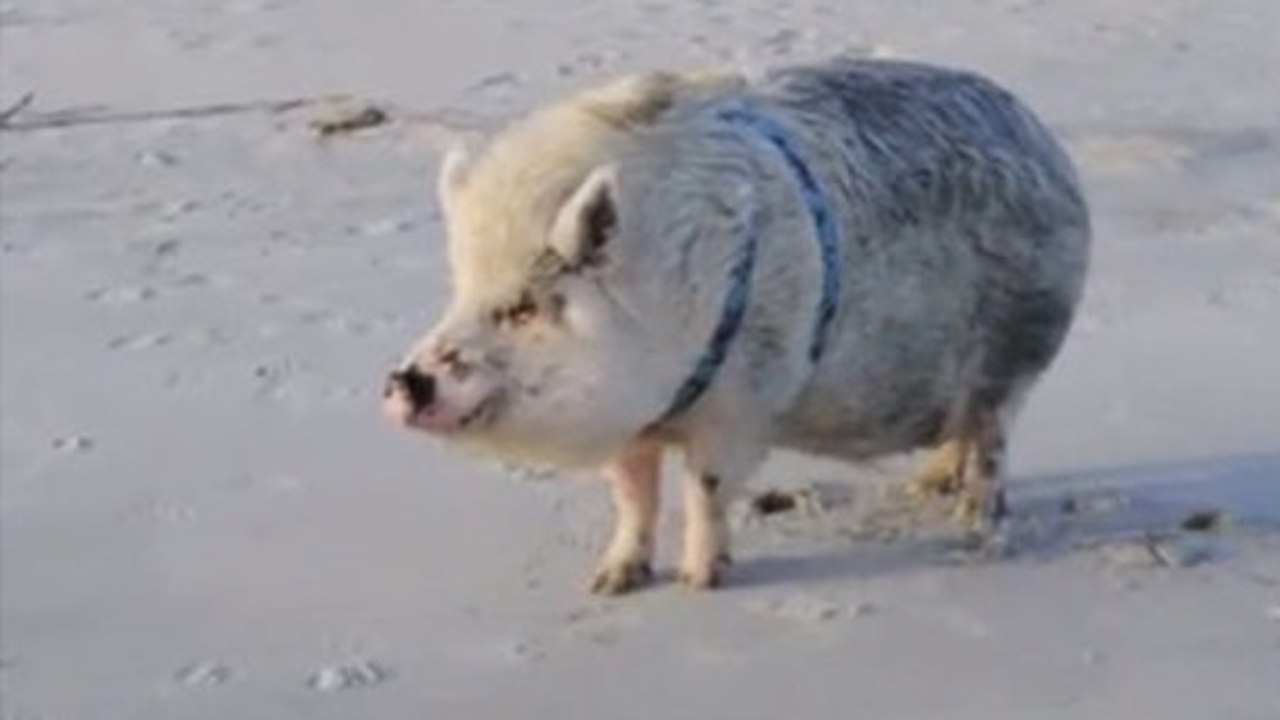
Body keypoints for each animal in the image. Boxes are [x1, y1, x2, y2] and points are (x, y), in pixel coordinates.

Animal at [383, 57, 1090, 594]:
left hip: (1019, 346)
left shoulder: (742, 404)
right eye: (461, 290)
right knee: (962, 435)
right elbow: (633, 497)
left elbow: (706, 488)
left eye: (526, 307)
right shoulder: (633, 425)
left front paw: (700, 582)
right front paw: (610, 583)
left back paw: (974, 529)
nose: (401, 382)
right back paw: (929, 487)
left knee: (993, 440)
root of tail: (1047, 145)